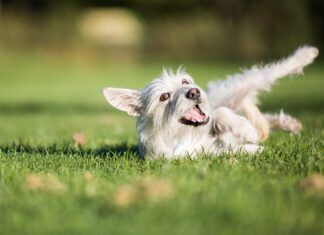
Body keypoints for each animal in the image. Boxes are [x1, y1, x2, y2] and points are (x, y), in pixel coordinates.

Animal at [103, 46, 318, 160]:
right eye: (163, 97)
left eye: (184, 82)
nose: (194, 92)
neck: (183, 134)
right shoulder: (199, 155)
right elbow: (231, 149)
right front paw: (254, 147)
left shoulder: (212, 116)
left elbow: (219, 113)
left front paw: (247, 131)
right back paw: (286, 124)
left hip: (236, 88)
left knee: (270, 72)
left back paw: (305, 55)